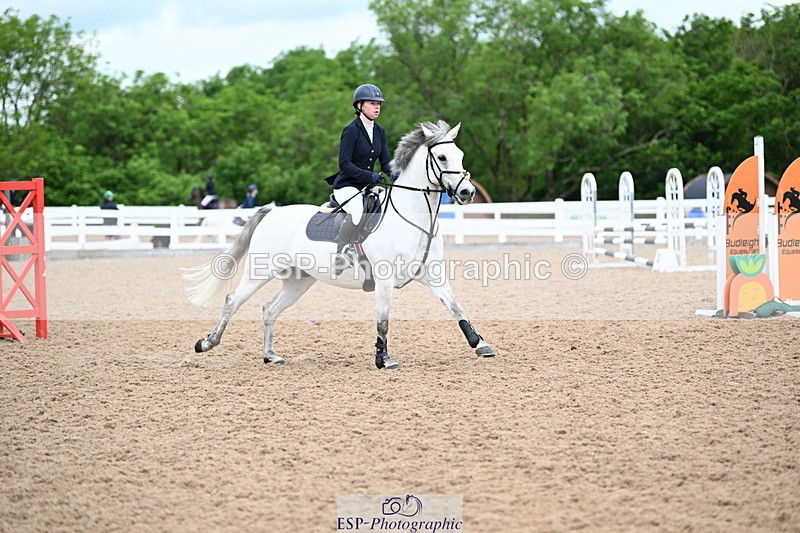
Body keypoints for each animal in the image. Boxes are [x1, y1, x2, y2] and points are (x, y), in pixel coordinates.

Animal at [183, 120, 495, 369]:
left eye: (460, 155)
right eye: (441, 157)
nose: (467, 192)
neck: (412, 217)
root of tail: (271, 211)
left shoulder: (433, 275)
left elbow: (456, 307)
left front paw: (480, 344)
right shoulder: (384, 279)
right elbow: (383, 321)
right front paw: (384, 360)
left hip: (299, 280)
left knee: (269, 309)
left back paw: (271, 356)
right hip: (260, 271)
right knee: (233, 300)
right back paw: (207, 343)